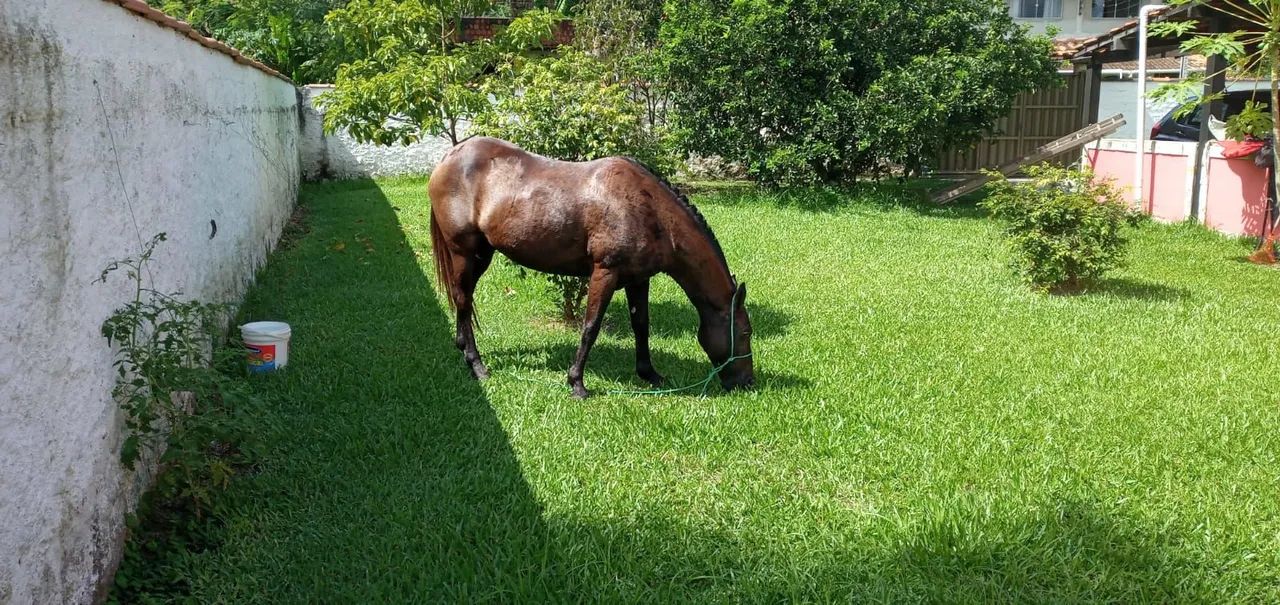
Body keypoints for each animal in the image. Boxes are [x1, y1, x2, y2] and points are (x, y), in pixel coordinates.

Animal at [430, 139, 747, 399]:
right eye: (745, 333)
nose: (747, 382)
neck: (650, 211)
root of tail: (448, 158)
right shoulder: (605, 273)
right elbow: (590, 327)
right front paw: (577, 384)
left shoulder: (638, 279)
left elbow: (641, 325)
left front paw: (649, 374)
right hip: (464, 253)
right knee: (462, 299)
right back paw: (477, 366)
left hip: (482, 255)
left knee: (463, 300)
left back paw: (463, 348)